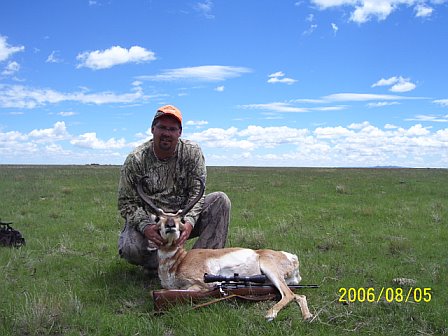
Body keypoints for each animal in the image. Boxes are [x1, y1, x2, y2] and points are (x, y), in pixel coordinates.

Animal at [138, 176, 314, 320]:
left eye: (181, 219)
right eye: (157, 219)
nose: (170, 225)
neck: (179, 261)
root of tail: (291, 257)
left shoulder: (201, 285)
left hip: (269, 269)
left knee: (289, 294)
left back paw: (270, 314)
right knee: (300, 296)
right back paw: (307, 317)